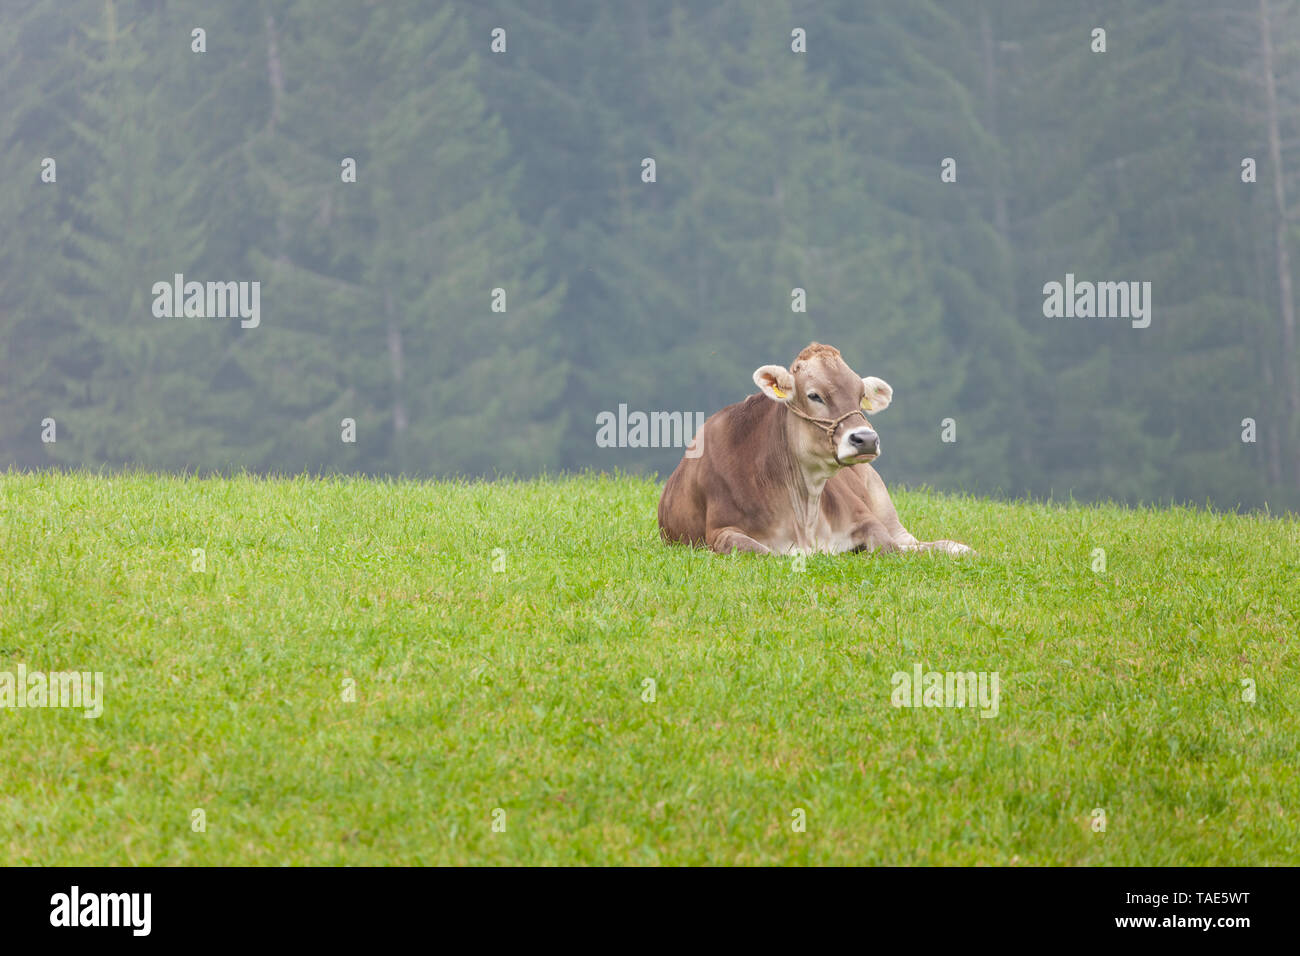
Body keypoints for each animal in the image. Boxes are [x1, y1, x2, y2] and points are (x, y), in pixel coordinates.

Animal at [658, 342, 972, 556]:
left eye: (860, 395)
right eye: (814, 395)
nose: (866, 439)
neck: (803, 514)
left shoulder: (866, 518)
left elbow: (888, 546)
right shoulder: (720, 532)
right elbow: (763, 551)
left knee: (909, 542)